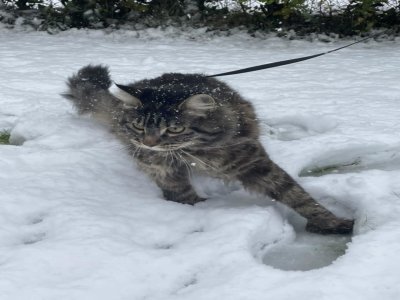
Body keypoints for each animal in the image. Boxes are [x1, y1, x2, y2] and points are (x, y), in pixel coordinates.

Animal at [64, 65, 354, 234]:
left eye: (174, 129)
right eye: (138, 125)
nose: (149, 143)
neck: (196, 152)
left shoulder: (253, 161)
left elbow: (297, 195)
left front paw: (332, 221)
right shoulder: (160, 167)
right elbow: (181, 193)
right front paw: (202, 210)